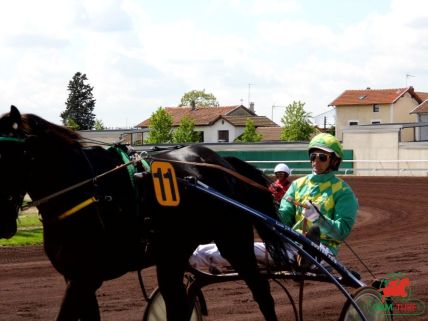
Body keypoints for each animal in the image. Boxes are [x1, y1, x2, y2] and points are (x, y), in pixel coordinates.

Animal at [0, 105, 290, 320]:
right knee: (176, 304)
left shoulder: (84, 278)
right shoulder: (78, 278)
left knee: (262, 293)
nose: (3, 223)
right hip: (173, 251)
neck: (86, 190)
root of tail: (223, 163)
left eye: (10, 154)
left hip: (234, 241)